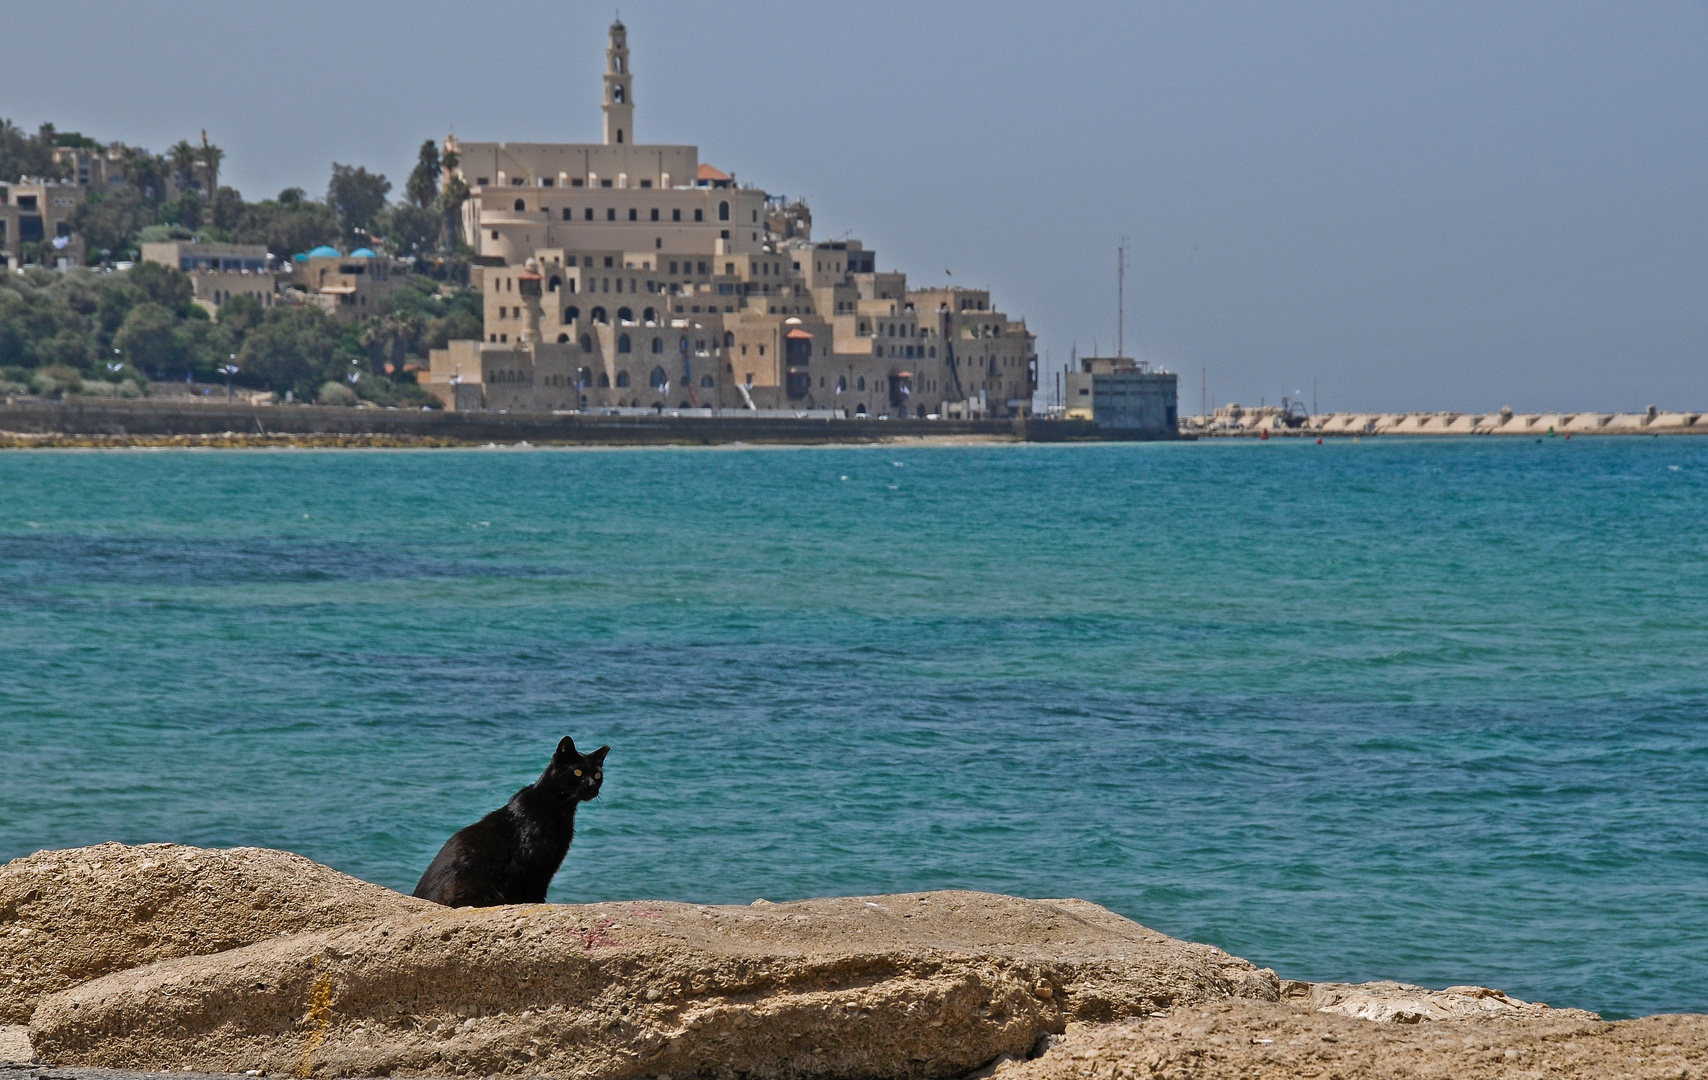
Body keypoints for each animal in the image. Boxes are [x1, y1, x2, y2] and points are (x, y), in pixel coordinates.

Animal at [413, 738, 608, 909]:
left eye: (598, 775)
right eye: (578, 772)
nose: (592, 785)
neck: (558, 806)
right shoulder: (535, 866)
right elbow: (535, 894)